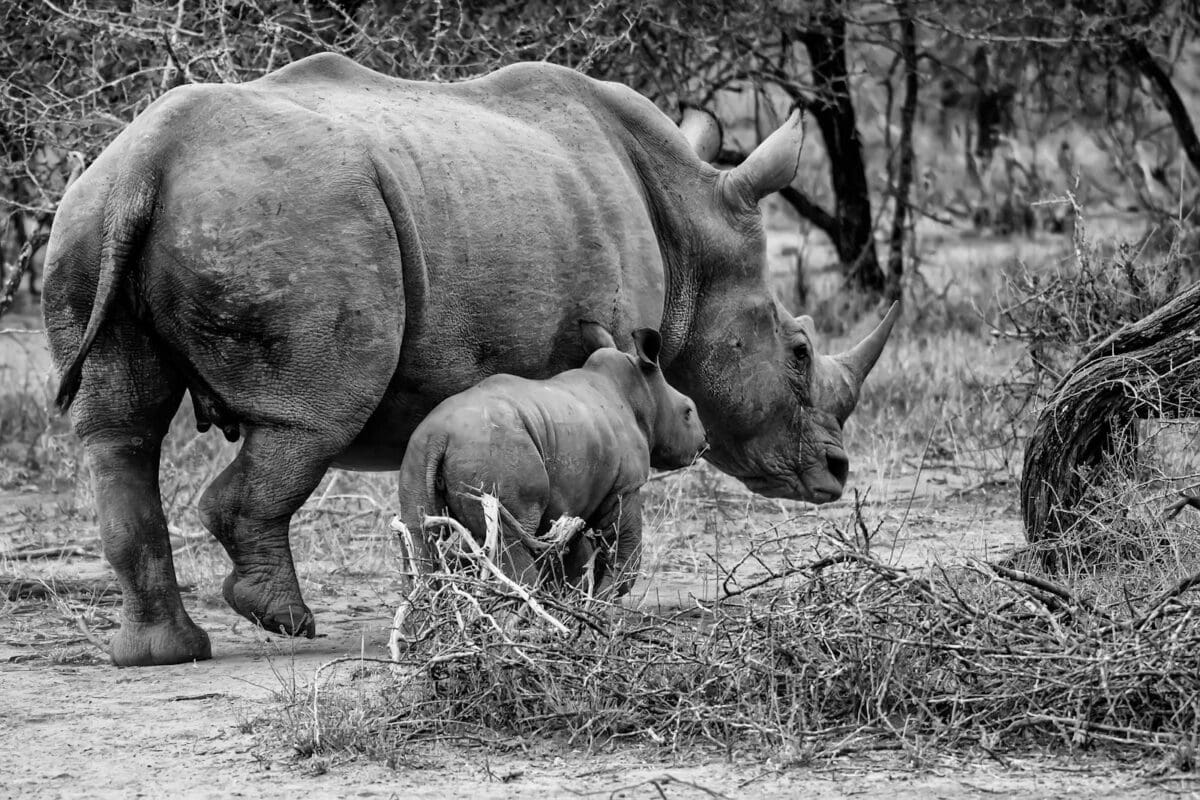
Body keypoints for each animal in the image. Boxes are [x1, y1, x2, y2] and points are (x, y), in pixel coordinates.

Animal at [397, 322, 707, 602]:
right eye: (688, 411)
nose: (704, 442)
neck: (642, 393)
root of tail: (440, 435)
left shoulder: (572, 497)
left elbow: (573, 555)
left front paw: (577, 599)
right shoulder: (626, 485)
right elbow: (625, 545)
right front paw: (603, 599)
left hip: (420, 452)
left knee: (417, 533)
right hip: (495, 451)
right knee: (511, 537)